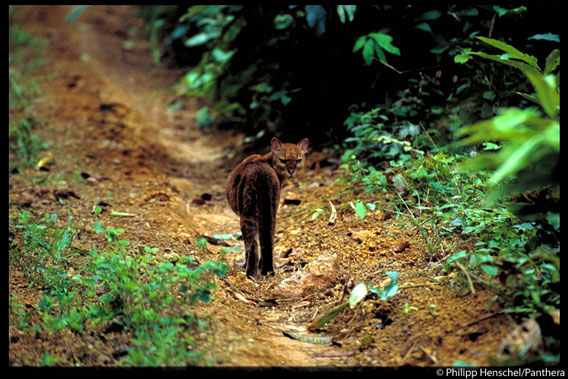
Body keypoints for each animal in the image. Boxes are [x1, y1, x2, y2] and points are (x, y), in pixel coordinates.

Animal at [225, 138, 308, 278]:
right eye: (283, 160)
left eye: (298, 160)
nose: (291, 170)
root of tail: (261, 172)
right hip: (271, 210)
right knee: (268, 239)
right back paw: (268, 270)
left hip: (247, 212)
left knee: (252, 244)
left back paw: (250, 273)